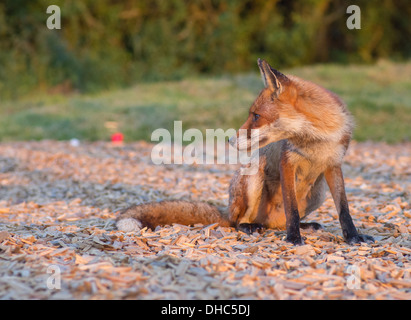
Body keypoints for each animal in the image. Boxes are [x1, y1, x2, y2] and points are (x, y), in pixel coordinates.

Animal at [116, 59, 376, 245]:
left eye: (256, 116)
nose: (230, 140)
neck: (317, 139)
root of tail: (228, 211)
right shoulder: (287, 163)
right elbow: (291, 207)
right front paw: (293, 239)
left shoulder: (334, 164)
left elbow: (344, 210)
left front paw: (353, 237)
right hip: (253, 178)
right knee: (237, 222)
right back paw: (251, 227)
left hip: (318, 193)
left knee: (277, 223)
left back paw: (303, 226)